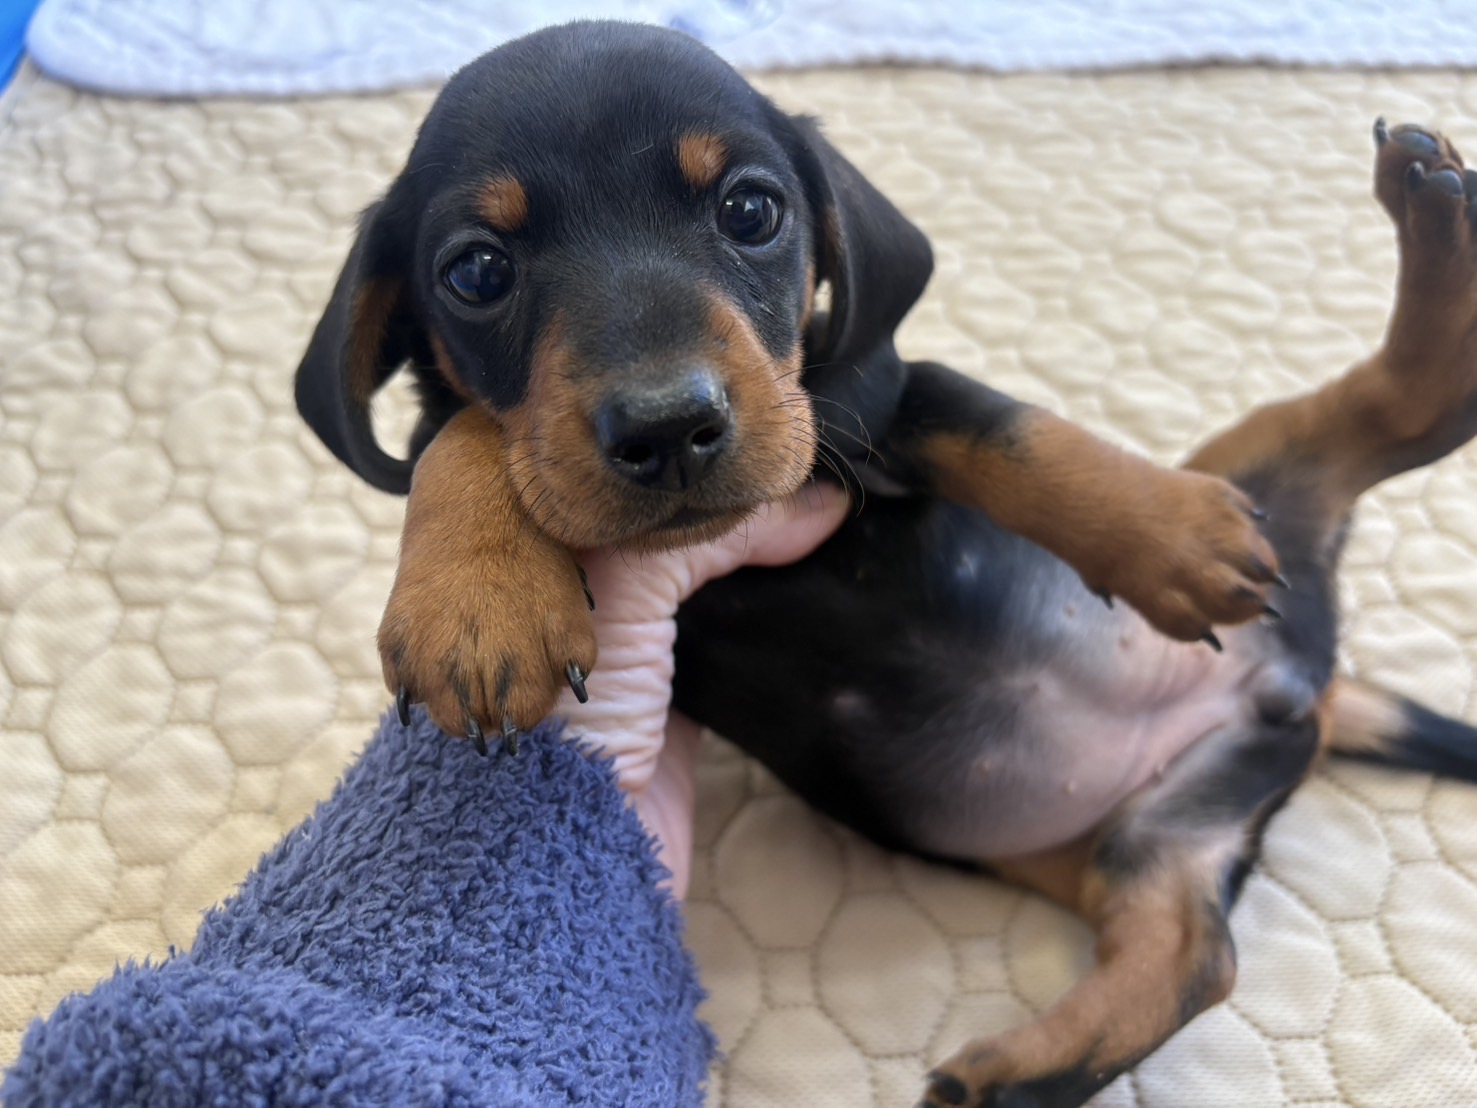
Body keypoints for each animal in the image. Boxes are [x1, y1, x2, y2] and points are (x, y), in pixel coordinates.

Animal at [294, 21, 1477, 1107]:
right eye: (477, 272)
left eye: (750, 212)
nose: (669, 428)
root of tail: (1304, 681)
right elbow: (464, 433)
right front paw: (476, 603)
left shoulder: (863, 394)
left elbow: (1006, 427)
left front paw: (1169, 536)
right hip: (1157, 836)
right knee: (1191, 951)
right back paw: (1015, 1075)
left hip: (1255, 488)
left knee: (1398, 409)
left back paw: (1425, 208)